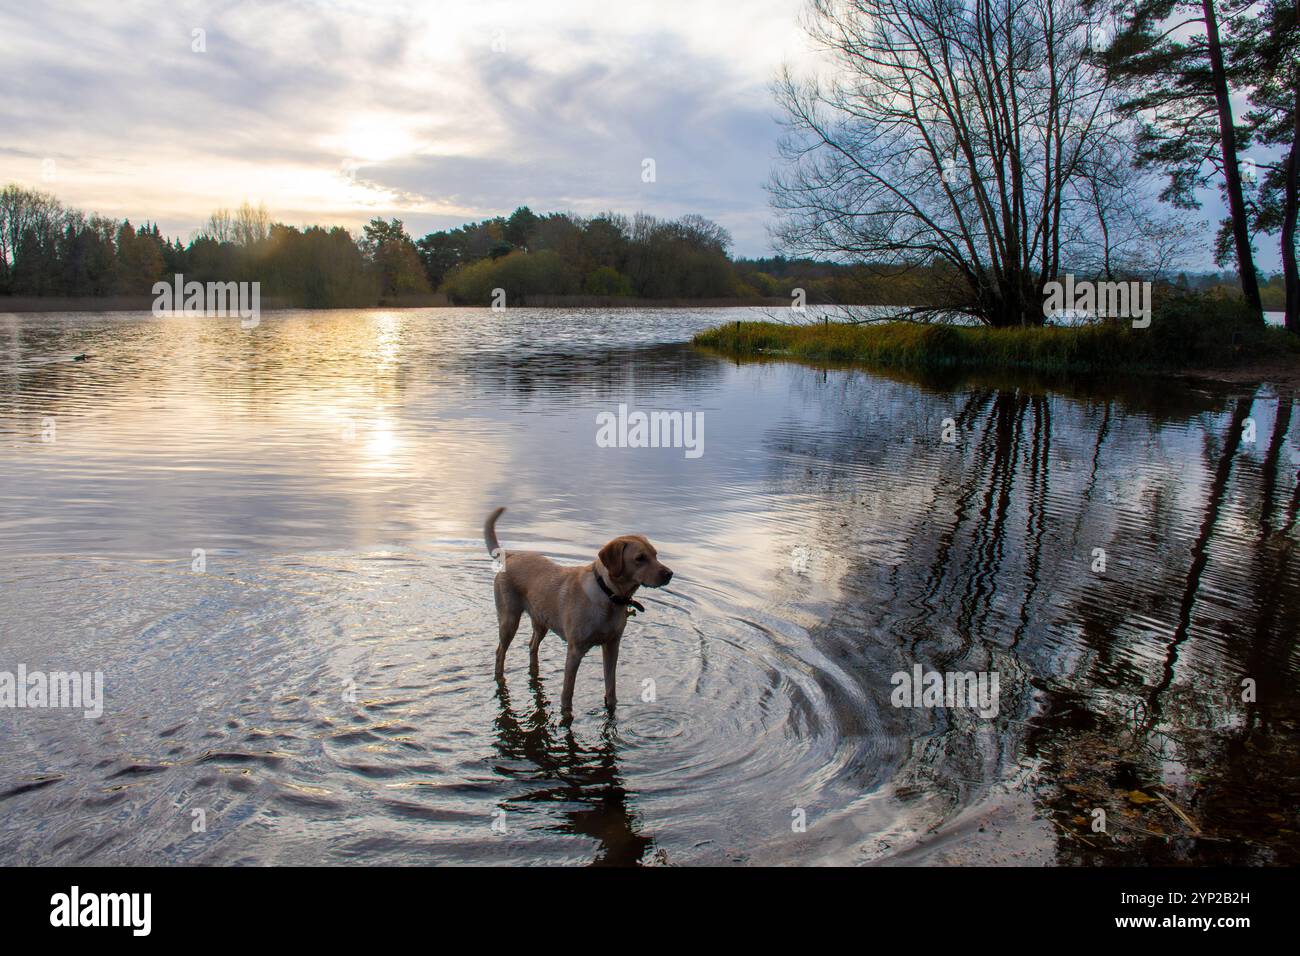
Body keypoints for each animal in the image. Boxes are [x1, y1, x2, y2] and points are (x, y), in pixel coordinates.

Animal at [483, 504, 676, 712]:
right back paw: (500, 677)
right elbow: (567, 694)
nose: (669, 574)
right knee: (500, 652)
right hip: (509, 621)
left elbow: (611, 688)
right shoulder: (575, 651)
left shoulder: (612, 646)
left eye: (655, 555)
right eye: (640, 558)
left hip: (541, 621)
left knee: (532, 646)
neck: (608, 595)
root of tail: (511, 555)